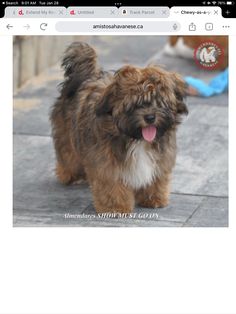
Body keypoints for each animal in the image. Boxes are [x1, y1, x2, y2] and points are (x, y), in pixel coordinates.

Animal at [51, 42, 188, 213]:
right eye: (135, 104)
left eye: (159, 102)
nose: (150, 117)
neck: (136, 138)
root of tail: (85, 77)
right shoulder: (106, 163)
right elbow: (112, 185)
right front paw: (115, 207)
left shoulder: (161, 159)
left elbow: (156, 177)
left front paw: (153, 198)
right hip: (67, 137)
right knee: (68, 157)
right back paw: (69, 175)